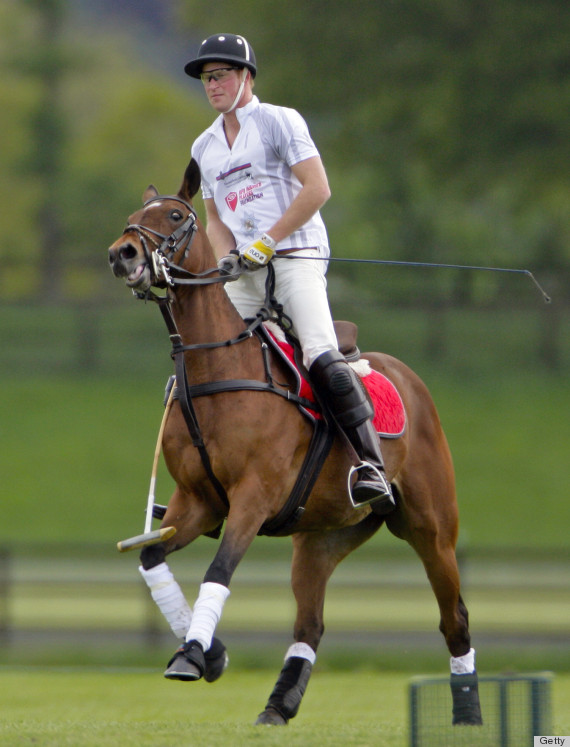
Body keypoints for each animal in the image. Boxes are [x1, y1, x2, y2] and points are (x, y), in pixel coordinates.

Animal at [106, 159, 480, 732]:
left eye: (173, 215)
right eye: (133, 214)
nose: (121, 253)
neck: (215, 369)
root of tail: (408, 375)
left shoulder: (253, 497)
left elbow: (219, 571)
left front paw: (193, 655)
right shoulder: (198, 501)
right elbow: (150, 560)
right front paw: (211, 653)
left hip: (431, 526)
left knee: (453, 615)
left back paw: (467, 713)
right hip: (321, 537)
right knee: (310, 624)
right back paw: (278, 706)